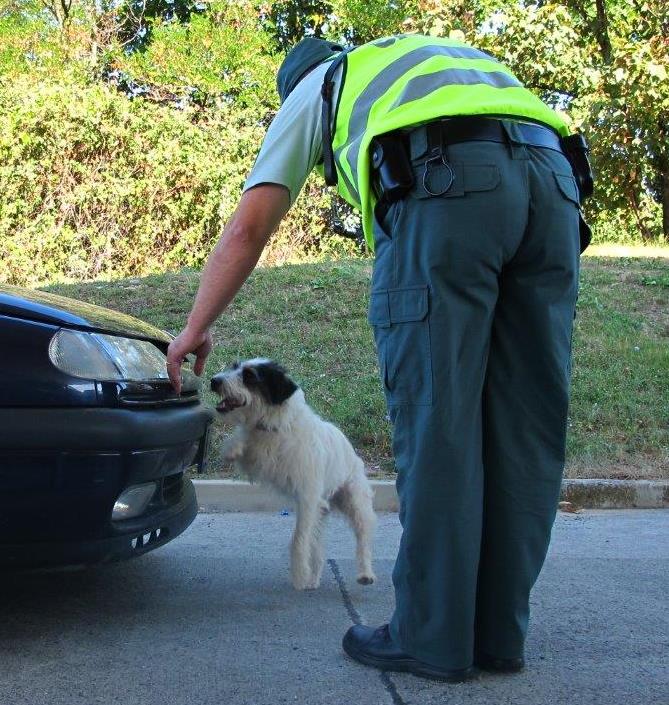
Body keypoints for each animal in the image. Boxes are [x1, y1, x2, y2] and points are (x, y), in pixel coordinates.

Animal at [210, 358, 376, 588]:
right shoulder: (257, 460)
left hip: (355, 503)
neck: (274, 425)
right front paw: (233, 447)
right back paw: (314, 579)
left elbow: (298, 540)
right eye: (234, 366)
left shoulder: (307, 499)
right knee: (317, 548)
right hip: (320, 513)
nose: (214, 381)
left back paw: (365, 573)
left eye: (250, 375)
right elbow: (245, 438)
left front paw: (298, 575)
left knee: (363, 540)